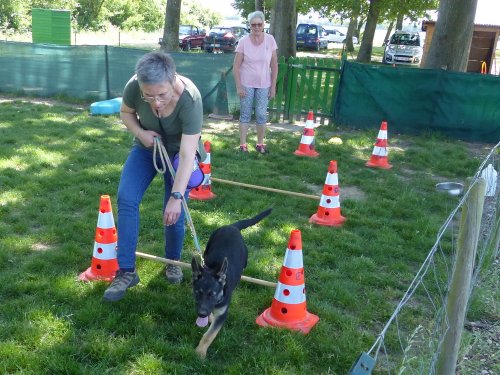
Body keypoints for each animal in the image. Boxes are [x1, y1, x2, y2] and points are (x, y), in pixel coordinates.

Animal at [190, 210, 272, 360]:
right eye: (197, 292)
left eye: (212, 295)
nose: (202, 314)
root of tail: (232, 226)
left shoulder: (222, 314)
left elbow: (209, 335)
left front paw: (200, 353)